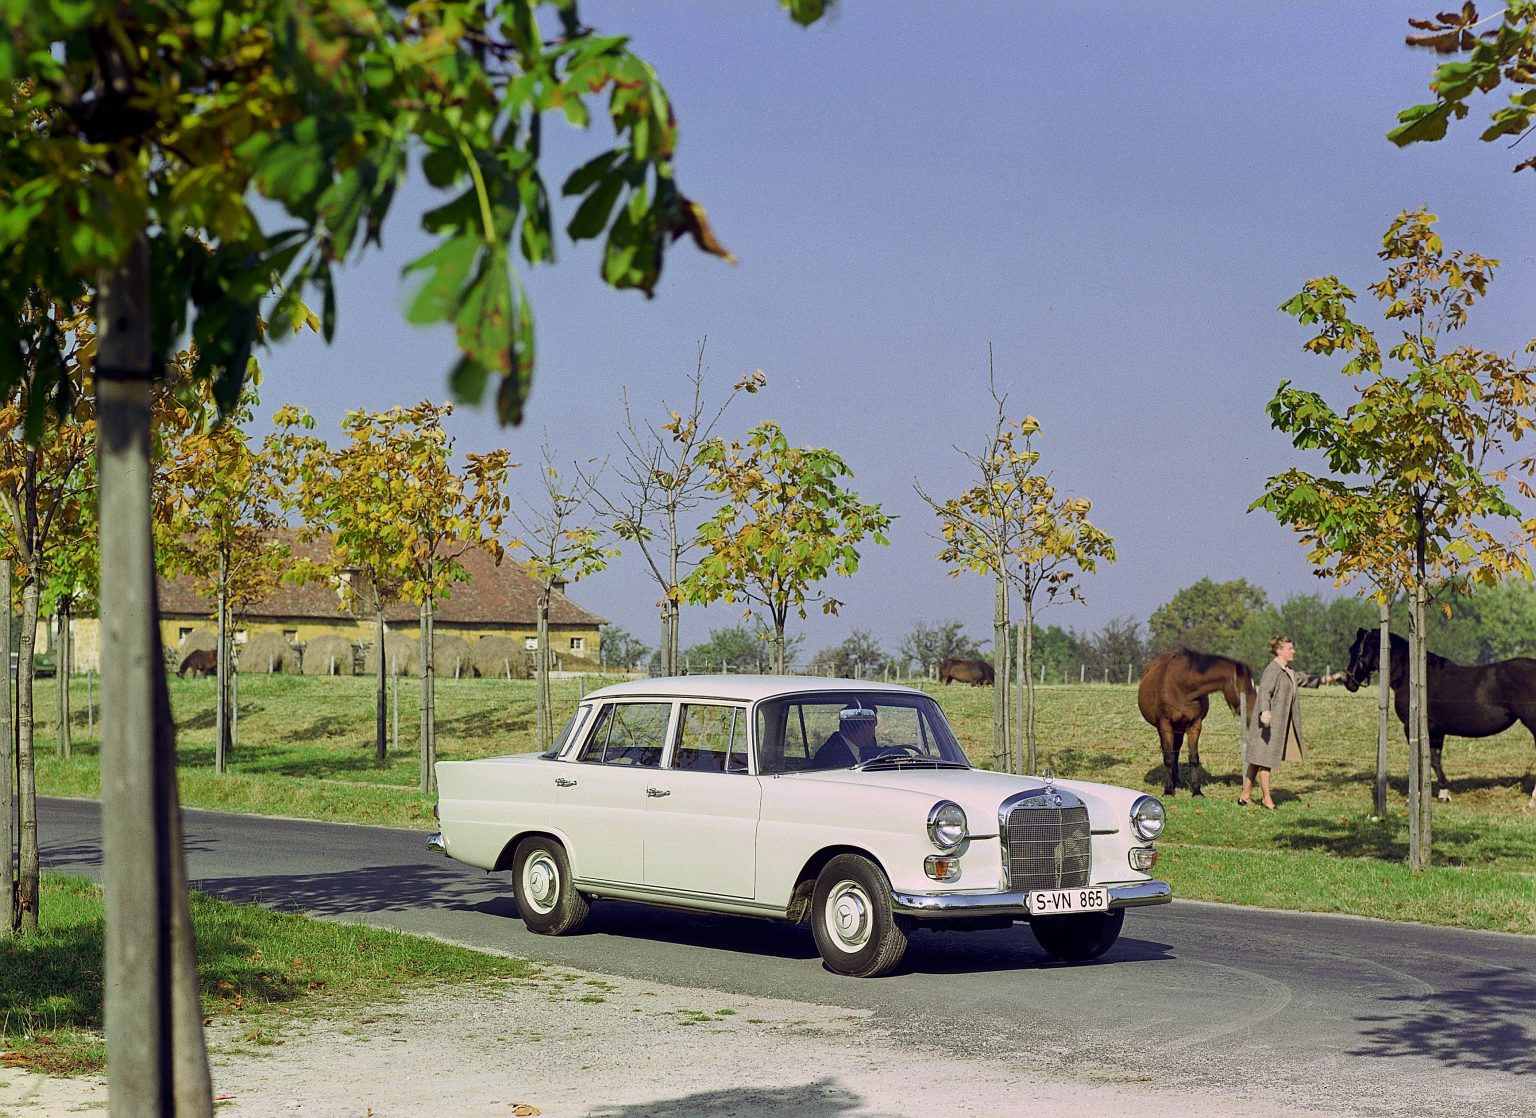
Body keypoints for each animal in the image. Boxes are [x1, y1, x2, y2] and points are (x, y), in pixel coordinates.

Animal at [1136, 651, 1253, 798]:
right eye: (1247, 689)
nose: (1256, 714)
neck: (1182, 685)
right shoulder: (1165, 725)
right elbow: (1168, 758)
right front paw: (1168, 791)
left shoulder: (1194, 725)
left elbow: (1193, 758)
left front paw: (1196, 791)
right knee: (1168, 752)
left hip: (1179, 729)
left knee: (1176, 750)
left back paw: (1176, 780)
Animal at [1339, 629, 1536, 804]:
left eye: (1356, 650)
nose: (1349, 682)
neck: (1412, 678)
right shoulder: (1436, 731)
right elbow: (1434, 759)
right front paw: (1443, 794)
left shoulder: (1412, 727)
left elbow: (1420, 760)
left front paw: (1415, 796)